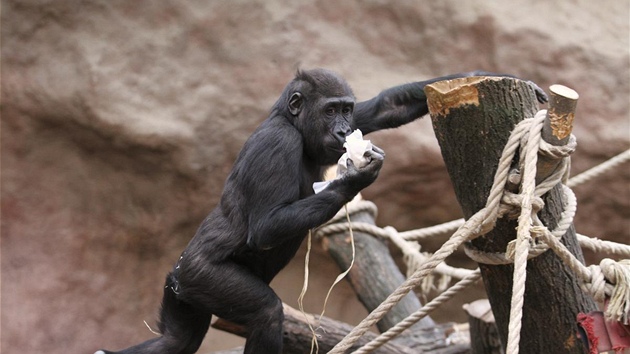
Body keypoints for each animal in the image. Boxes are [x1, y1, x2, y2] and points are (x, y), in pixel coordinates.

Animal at [97, 69, 548, 354]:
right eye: (329, 110)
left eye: (345, 109)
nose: (344, 129)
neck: (291, 122)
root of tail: (180, 269)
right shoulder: (277, 144)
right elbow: (265, 226)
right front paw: (356, 178)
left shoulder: (362, 115)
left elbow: (385, 106)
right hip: (202, 275)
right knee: (263, 313)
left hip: (181, 288)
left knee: (176, 341)